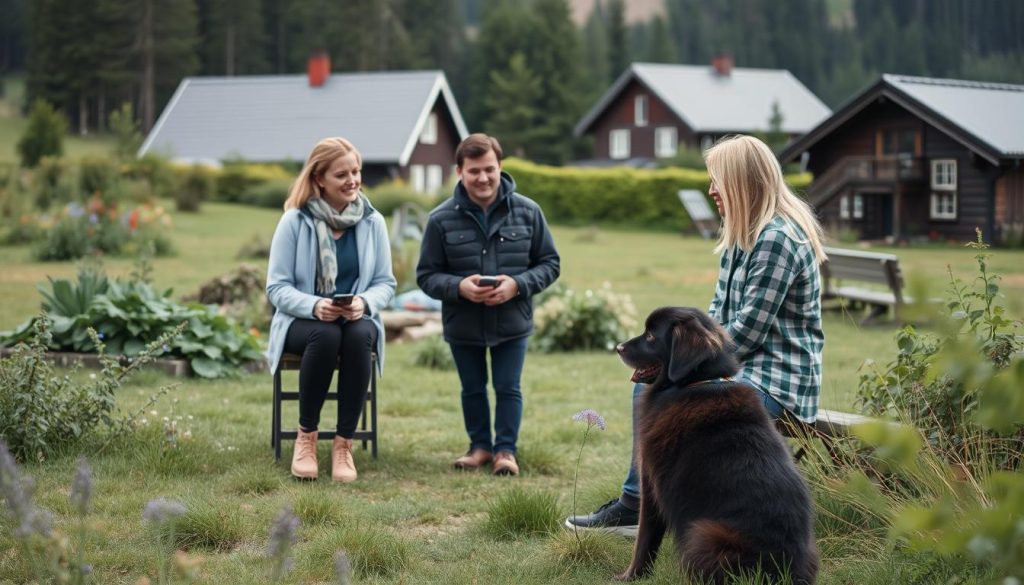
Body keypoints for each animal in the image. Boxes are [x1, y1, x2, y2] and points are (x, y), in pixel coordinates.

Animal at [614, 309, 815, 581]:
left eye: (651, 336)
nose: (618, 347)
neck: (693, 383)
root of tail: (786, 569)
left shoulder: (650, 485)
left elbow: (645, 539)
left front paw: (631, 575)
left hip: (703, 534)